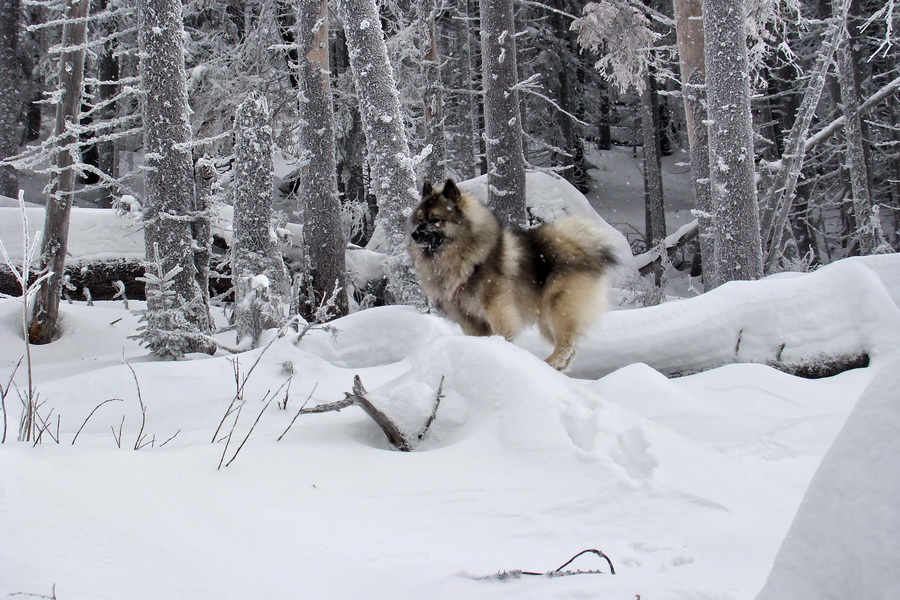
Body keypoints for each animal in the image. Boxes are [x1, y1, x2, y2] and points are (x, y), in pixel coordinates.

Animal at [410, 177, 616, 370]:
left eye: (436, 220)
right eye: (420, 220)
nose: (414, 235)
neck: (463, 258)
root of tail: (580, 248)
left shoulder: (498, 309)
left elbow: (503, 333)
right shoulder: (469, 320)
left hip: (559, 309)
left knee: (567, 344)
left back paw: (548, 363)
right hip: (546, 321)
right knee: (571, 349)